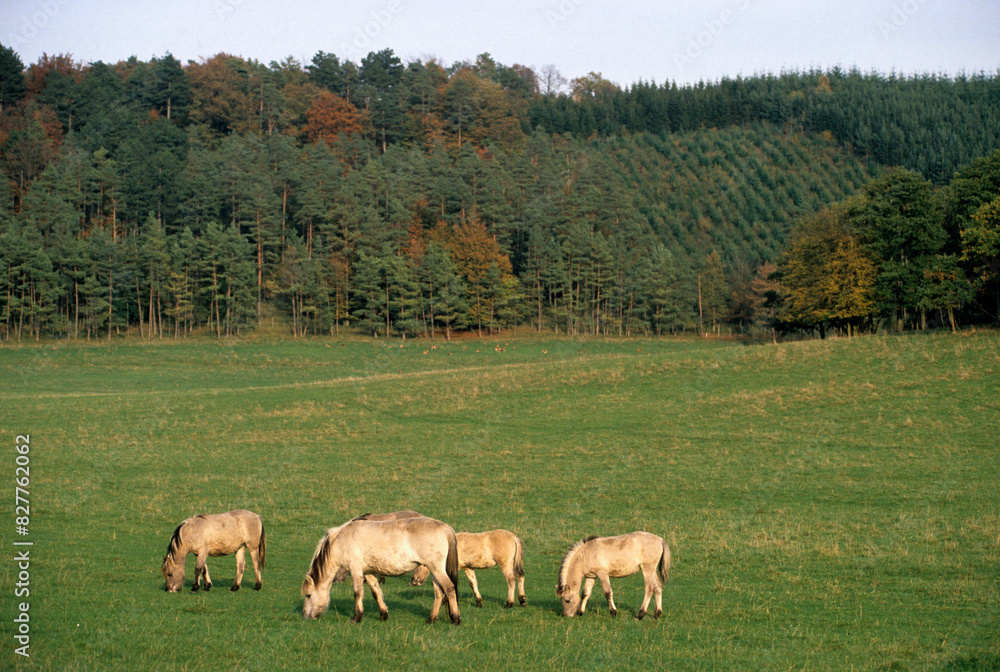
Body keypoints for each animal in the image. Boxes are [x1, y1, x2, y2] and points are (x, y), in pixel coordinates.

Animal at [301, 516, 461, 625]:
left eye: (309, 595)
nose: (305, 615)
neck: (342, 539)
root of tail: (444, 527)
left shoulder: (355, 570)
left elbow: (357, 593)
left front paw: (357, 617)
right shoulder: (368, 572)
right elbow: (376, 592)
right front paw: (383, 614)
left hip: (436, 569)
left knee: (449, 588)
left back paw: (455, 618)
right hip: (434, 570)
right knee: (439, 593)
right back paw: (431, 619)